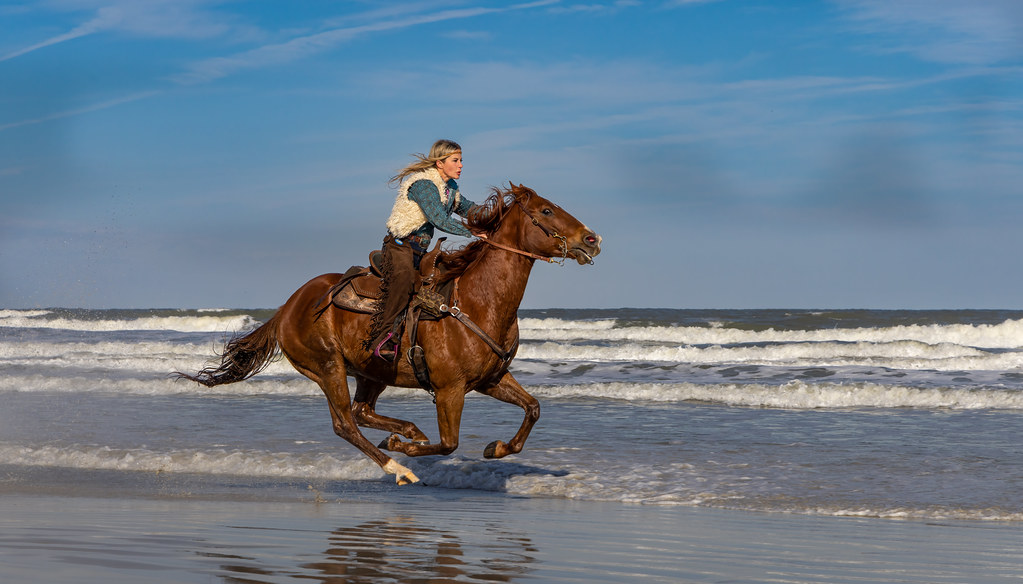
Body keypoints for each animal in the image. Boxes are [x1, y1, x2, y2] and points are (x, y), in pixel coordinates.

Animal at [176, 184, 601, 485]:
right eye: (546, 211)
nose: (592, 239)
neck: (478, 300)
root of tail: (287, 307)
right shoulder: (450, 390)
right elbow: (449, 443)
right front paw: (406, 451)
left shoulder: (491, 378)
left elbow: (533, 408)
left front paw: (496, 448)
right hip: (327, 367)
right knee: (345, 423)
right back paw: (398, 465)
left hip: (371, 371)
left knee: (362, 412)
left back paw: (406, 433)